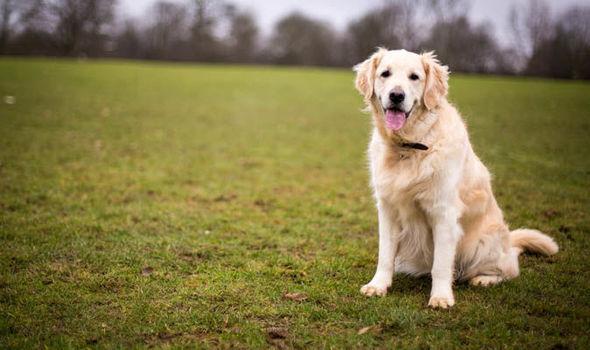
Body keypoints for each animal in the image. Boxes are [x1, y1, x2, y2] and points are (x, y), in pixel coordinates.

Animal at [354, 47, 560, 308]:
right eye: (385, 74)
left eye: (414, 77)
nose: (397, 95)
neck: (410, 146)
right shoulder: (388, 209)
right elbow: (385, 254)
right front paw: (378, 285)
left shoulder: (443, 213)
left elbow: (441, 264)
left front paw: (441, 297)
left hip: (483, 243)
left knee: (509, 267)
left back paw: (484, 278)